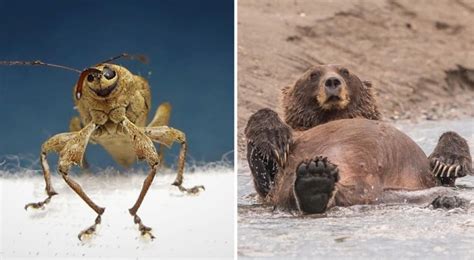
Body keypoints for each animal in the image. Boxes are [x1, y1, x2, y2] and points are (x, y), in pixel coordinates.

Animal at [246, 64, 472, 213]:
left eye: (345, 71)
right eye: (313, 74)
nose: (332, 81)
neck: (331, 116)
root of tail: (372, 190)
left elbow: (443, 170)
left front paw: (447, 162)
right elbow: (265, 175)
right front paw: (272, 137)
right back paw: (315, 179)